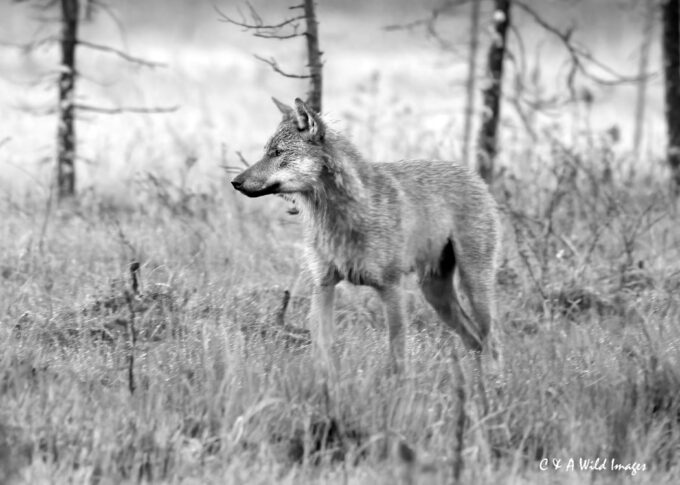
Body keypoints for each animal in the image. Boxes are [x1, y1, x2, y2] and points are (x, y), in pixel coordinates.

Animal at [231, 97, 500, 371]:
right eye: (266, 151)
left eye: (277, 153)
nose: (235, 182)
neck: (341, 216)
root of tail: (475, 176)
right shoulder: (323, 285)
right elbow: (322, 349)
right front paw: (324, 381)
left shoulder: (391, 287)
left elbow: (397, 356)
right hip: (436, 294)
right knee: (474, 340)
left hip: (473, 285)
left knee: (491, 340)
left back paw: (492, 379)